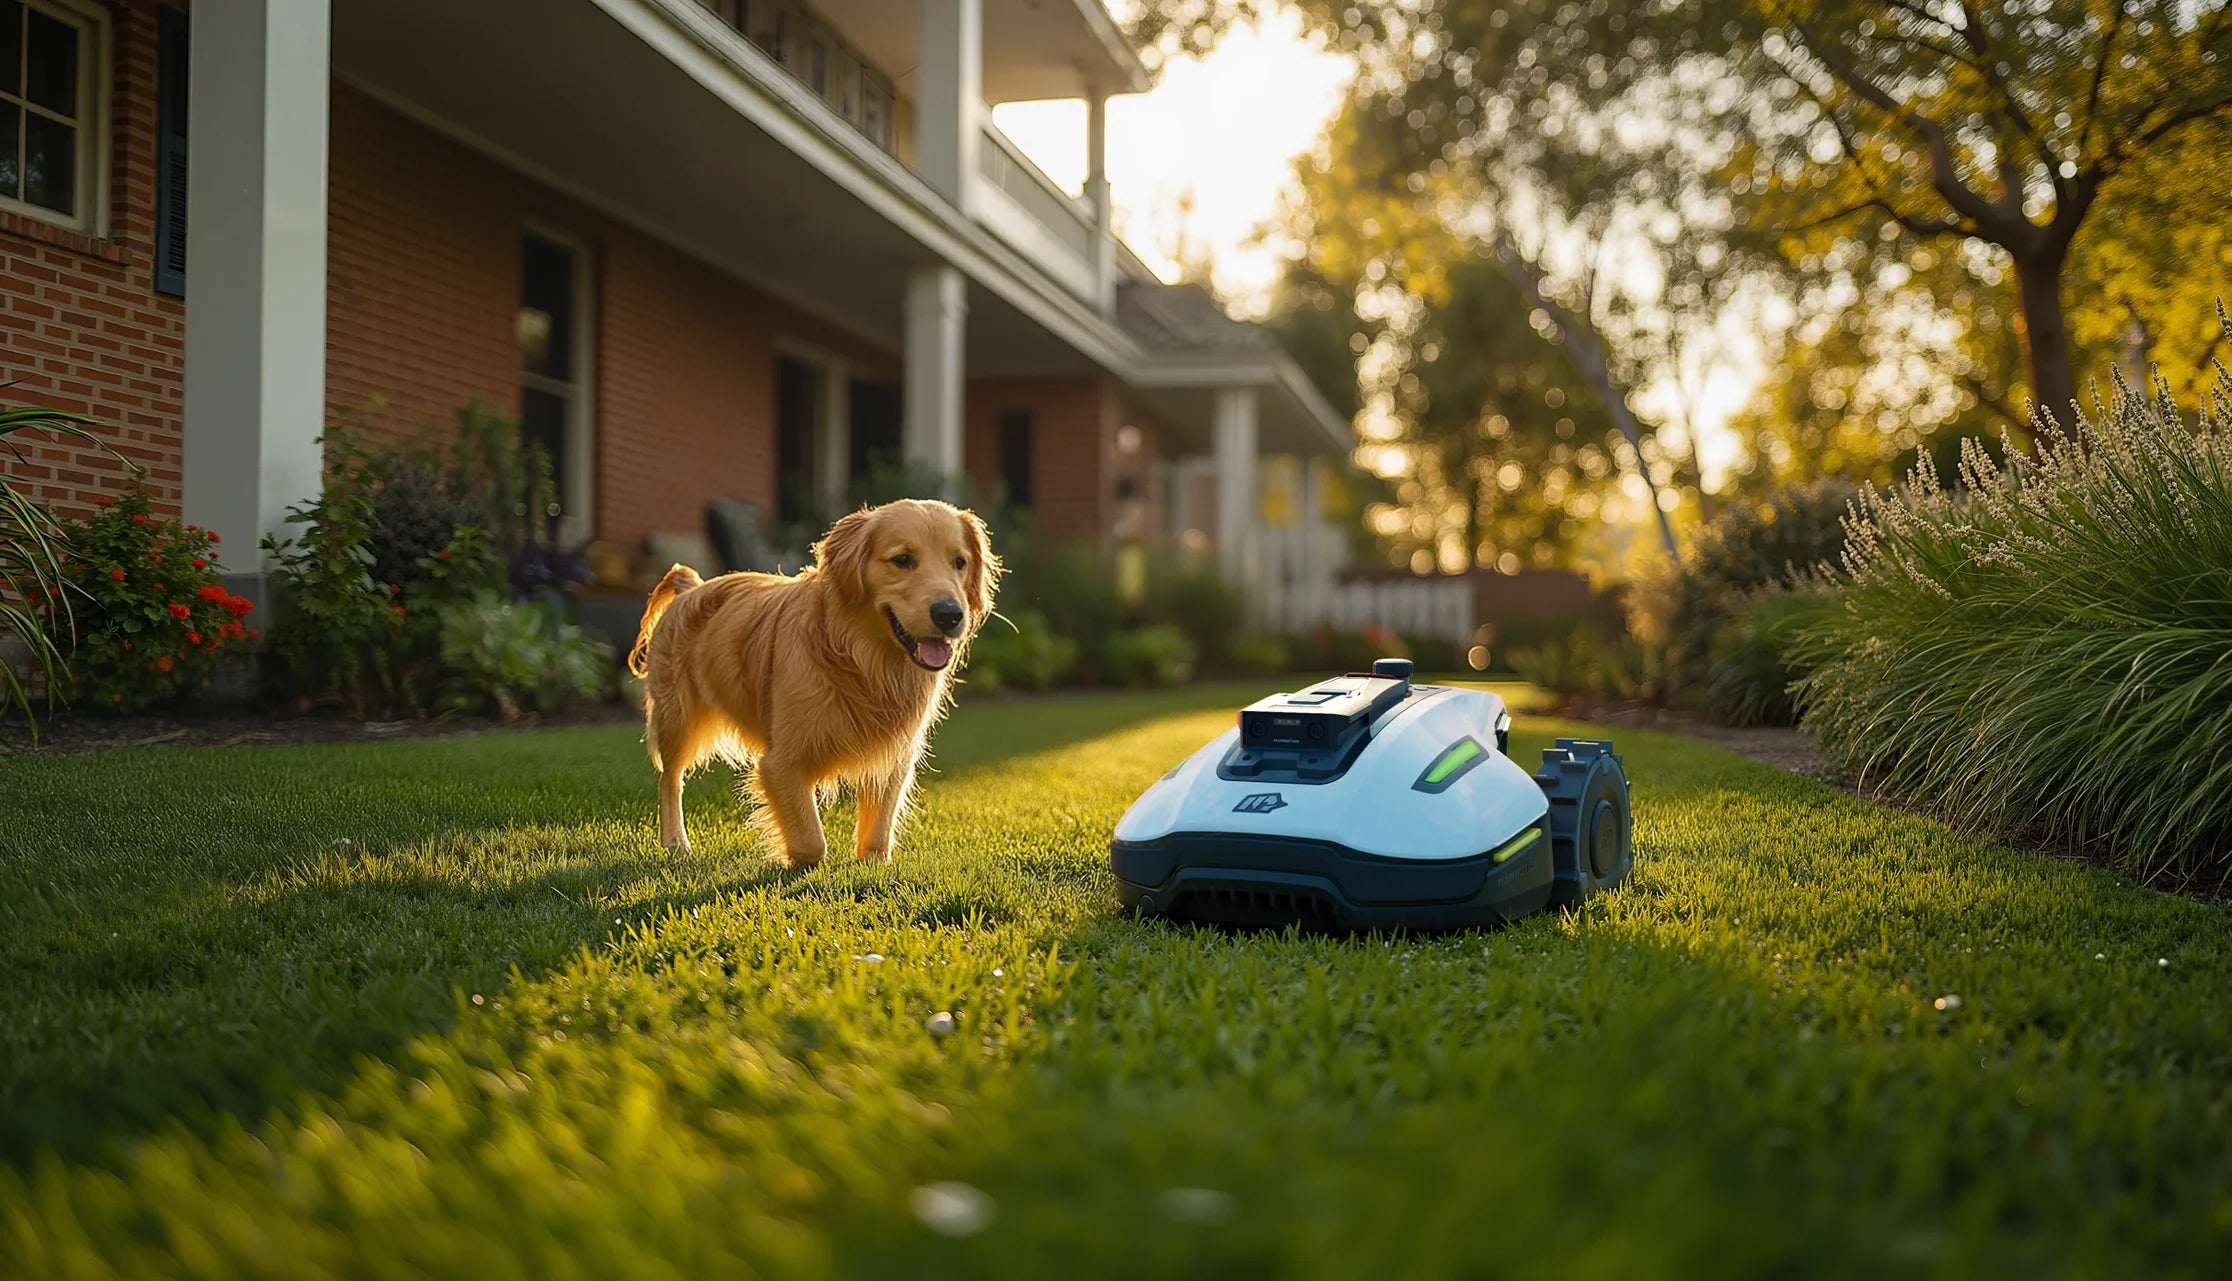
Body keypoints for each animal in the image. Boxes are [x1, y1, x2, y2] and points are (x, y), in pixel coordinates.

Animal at [633, 497, 1008, 870]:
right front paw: (798, 862)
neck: (862, 660)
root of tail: (691, 588)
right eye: (903, 560)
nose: (950, 615)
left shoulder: (894, 756)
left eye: (959, 562)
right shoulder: (780, 763)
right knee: (670, 780)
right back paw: (676, 842)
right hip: (677, 718)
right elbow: (812, 841)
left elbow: (878, 830)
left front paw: (872, 863)